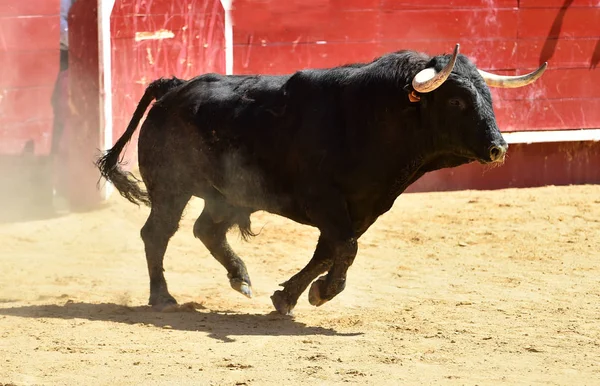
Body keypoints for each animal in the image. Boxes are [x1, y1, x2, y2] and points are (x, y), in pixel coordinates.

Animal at [96, 44, 548, 316]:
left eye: (487, 97)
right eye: (455, 100)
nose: (499, 148)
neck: (374, 118)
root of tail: (172, 87)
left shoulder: (364, 207)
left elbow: (330, 251)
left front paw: (289, 296)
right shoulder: (324, 201)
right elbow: (344, 248)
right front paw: (321, 292)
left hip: (227, 195)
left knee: (206, 229)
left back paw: (241, 279)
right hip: (171, 188)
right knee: (157, 233)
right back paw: (162, 297)